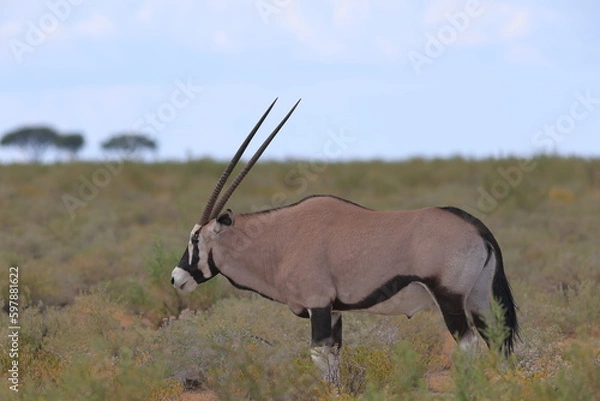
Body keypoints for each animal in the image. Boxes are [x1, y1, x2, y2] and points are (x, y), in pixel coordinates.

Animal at [171, 98, 516, 386]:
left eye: (195, 238)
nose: (176, 278)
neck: (281, 240)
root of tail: (477, 228)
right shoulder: (335, 310)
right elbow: (334, 358)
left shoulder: (319, 304)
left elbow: (319, 356)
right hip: (478, 299)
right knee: (495, 341)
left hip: (450, 299)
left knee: (469, 344)